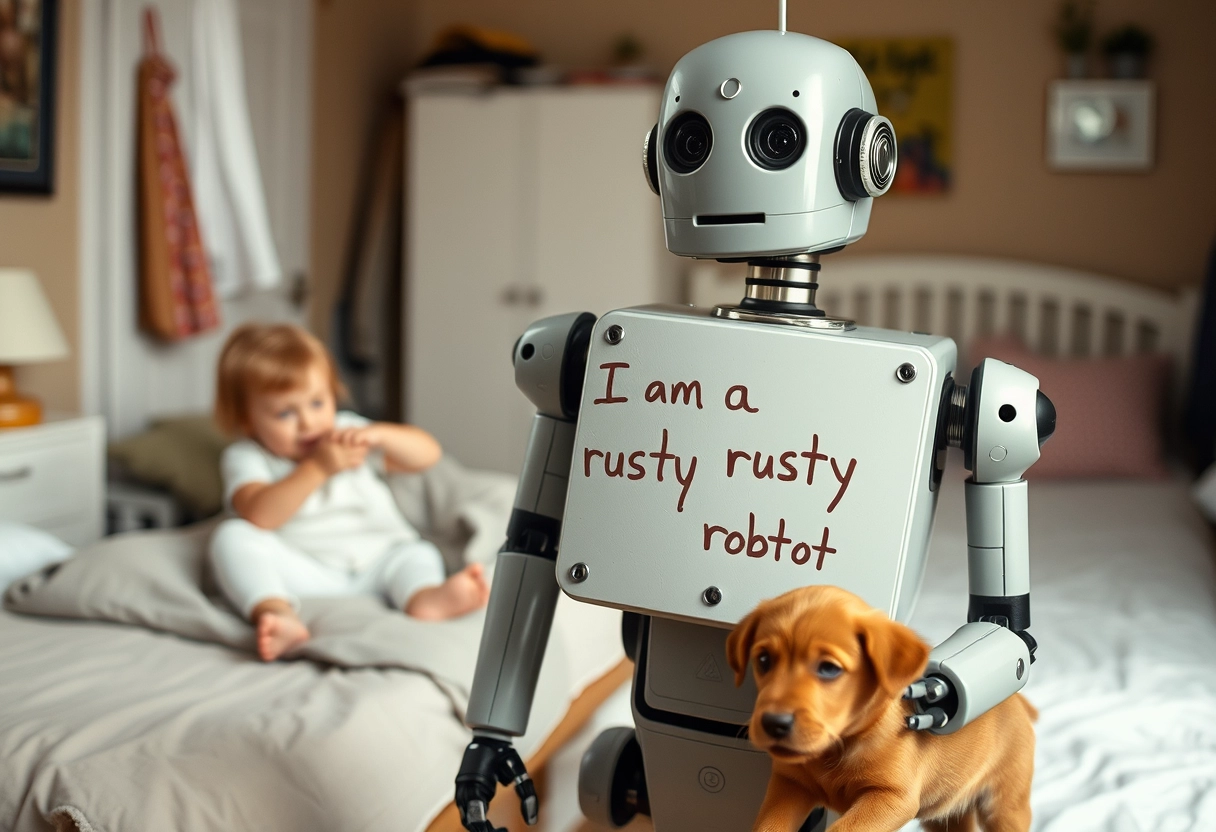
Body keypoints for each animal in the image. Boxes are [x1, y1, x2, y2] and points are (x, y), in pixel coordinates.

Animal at [729, 583, 1036, 832]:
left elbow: (842, 829)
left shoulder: (891, 798)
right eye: (763, 660)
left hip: (1004, 804)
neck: (838, 749)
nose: (773, 723)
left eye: (829, 668)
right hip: (946, 814)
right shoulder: (790, 785)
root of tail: (1019, 702)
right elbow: (769, 826)